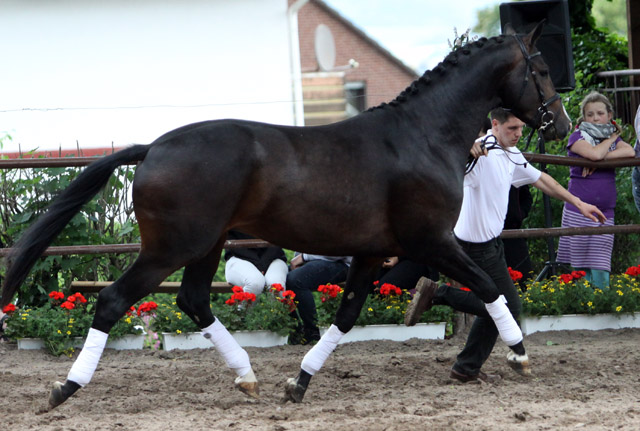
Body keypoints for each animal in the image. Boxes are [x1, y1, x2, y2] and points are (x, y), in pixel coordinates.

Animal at [1, 22, 568, 408]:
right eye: (540, 70)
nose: (559, 125)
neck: (423, 137)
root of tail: (154, 148)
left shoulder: (372, 253)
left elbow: (345, 316)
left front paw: (298, 382)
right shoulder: (431, 241)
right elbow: (490, 287)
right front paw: (519, 356)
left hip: (205, 246)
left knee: (192, 300)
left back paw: (247, 376)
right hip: (171, 248)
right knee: (114, 301)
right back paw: (66, 386)